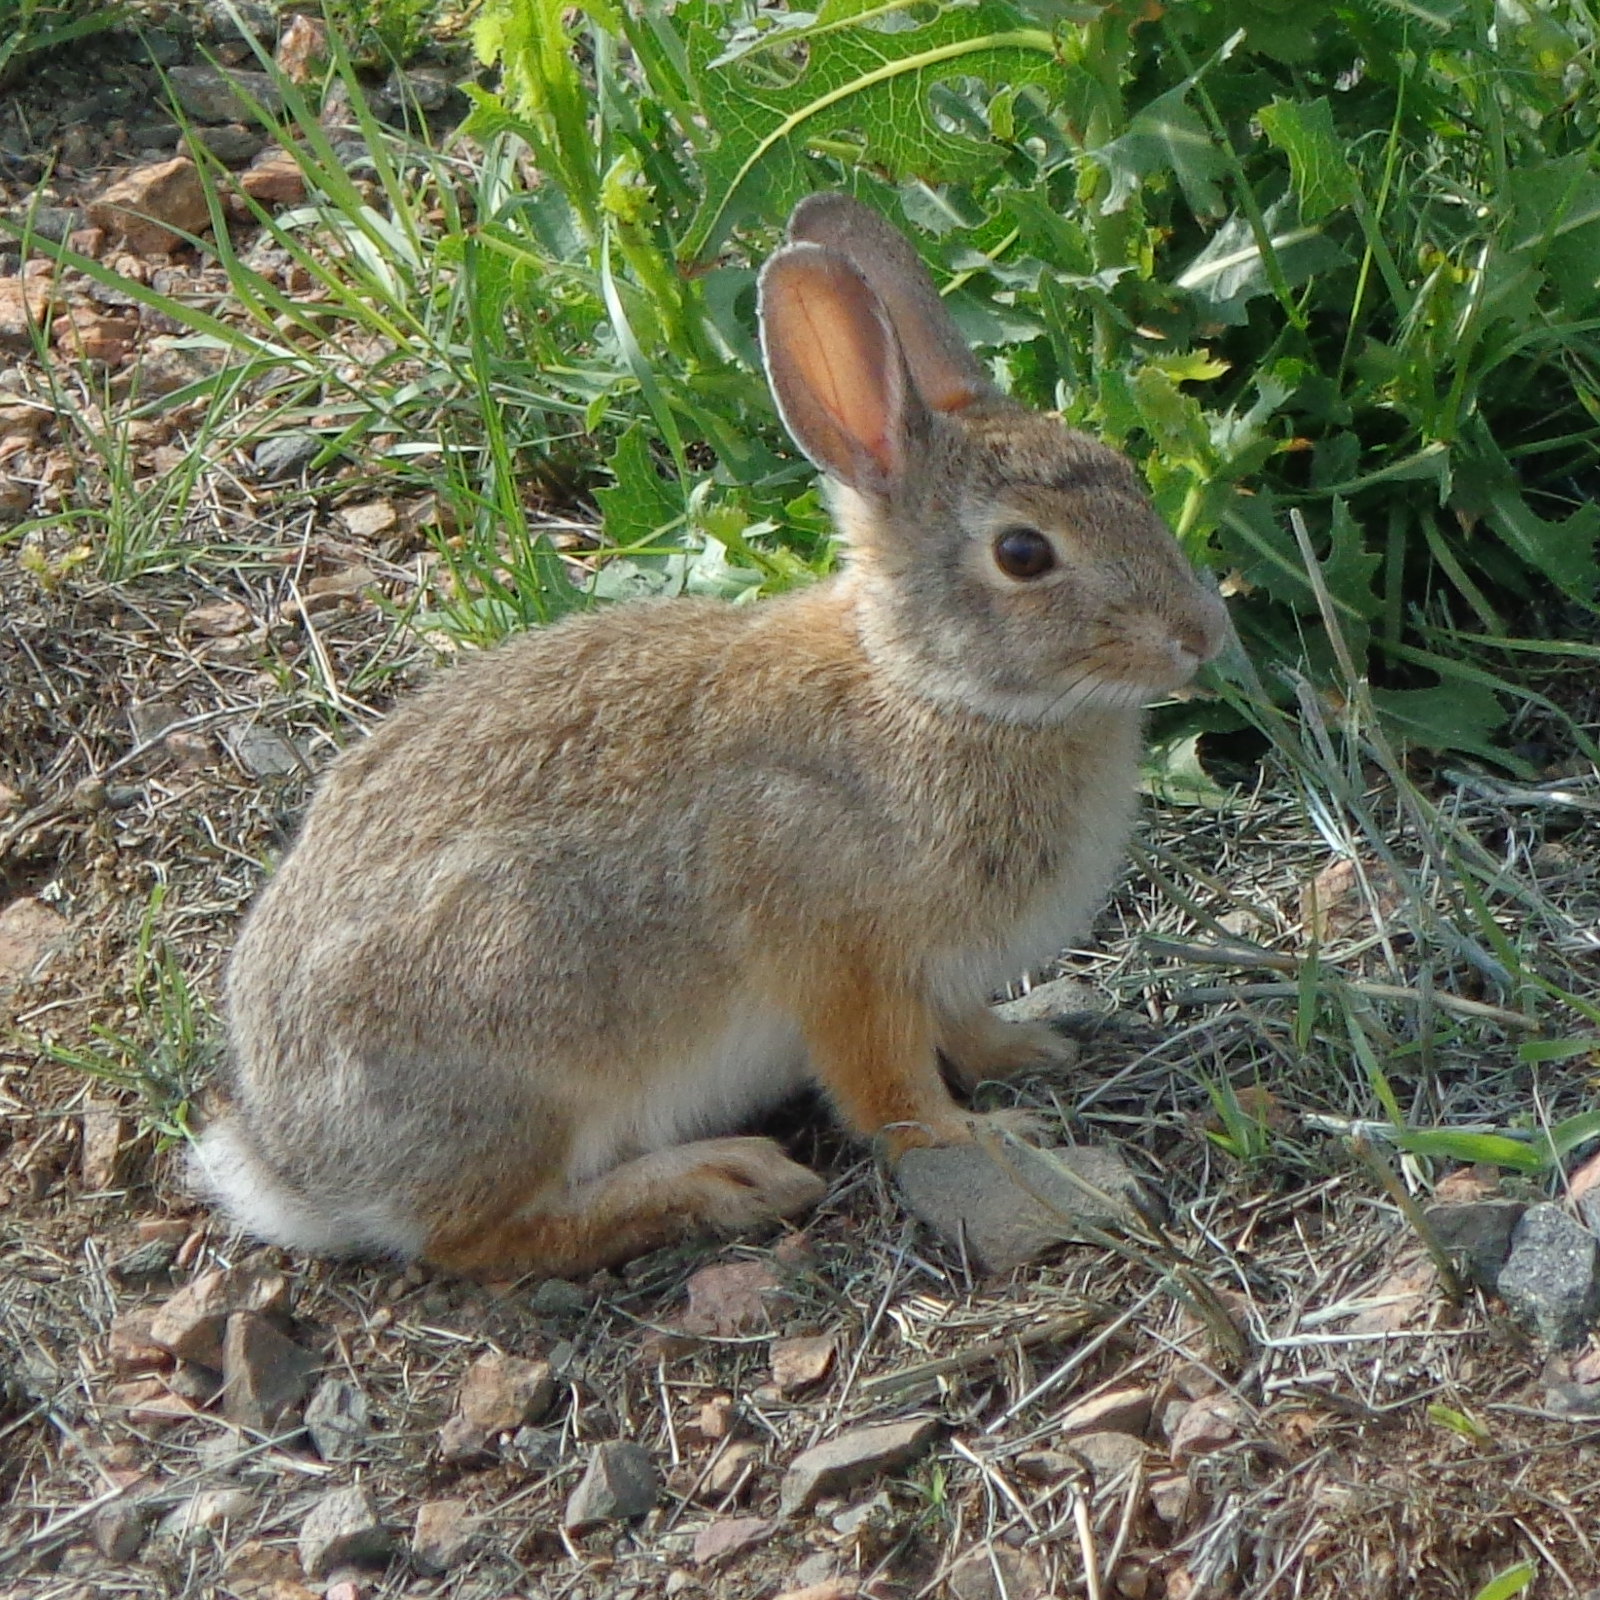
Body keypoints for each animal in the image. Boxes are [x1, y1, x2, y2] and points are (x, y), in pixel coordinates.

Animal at [193, 193, 1228, 1280]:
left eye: (1126, 472)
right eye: (1023, 554)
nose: (1202, 633)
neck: (926, 688)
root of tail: (290, 1167)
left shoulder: (939, 973)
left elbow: (965, 1029)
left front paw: (1032, 1048)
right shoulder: (843, 962)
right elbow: (889, 1093)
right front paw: (979, 1135)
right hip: (522, 1046)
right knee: (479, 1238)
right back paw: (715, 1183)